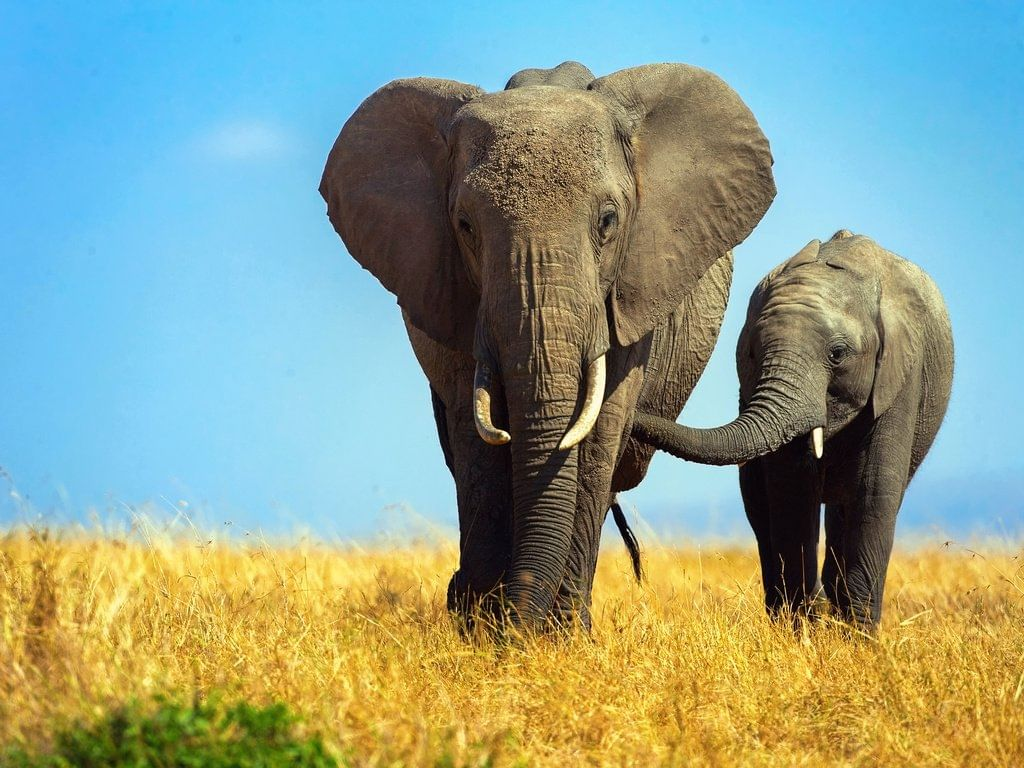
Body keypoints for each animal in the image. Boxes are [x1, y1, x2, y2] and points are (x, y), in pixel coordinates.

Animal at [319, 60, 776, 631]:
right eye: (465, 226)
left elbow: (598, 432)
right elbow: (477, 438)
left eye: (608, 221)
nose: (516, 618)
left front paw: (556, 634)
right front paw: (485, 628)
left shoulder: (632, 293)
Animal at [632, 230, 954, 631]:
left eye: (837, 354)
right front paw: (803, 629)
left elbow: (873, 489)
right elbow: (792, 489)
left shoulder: (900, 374)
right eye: (752, 352)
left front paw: (855, 636)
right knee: (761, 510)